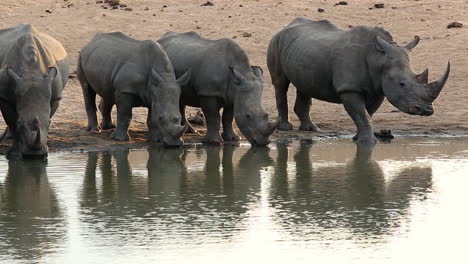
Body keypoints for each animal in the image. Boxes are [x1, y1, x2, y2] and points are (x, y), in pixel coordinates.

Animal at [0, 23, 69, 158]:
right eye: (20, 123)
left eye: (50, 123)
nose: (35, 155)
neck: (31, 73)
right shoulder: (4, 97)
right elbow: (11, 121)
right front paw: (14, 153)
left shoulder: (55, 96)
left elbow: (48, 113)